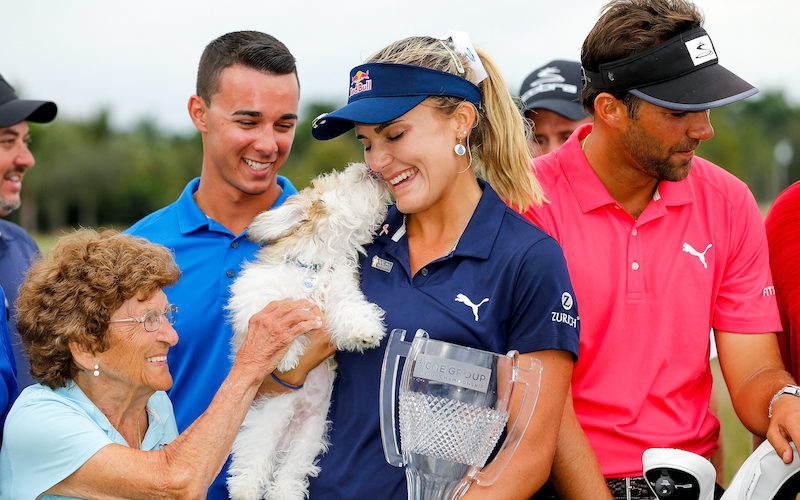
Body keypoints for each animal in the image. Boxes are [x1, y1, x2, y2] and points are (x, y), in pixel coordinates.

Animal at [227, 162, 390, 498]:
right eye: (343, 178)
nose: (368, 167)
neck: (318, 264)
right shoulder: (255, 296)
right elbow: (270, 319)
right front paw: (287, 355)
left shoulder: (342, 296)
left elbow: (352, 309)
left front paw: (366, 329)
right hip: (263, 427)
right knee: (251, 463)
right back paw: (244, 490)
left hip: (308, 439)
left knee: (288, 474)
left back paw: (284, 493)